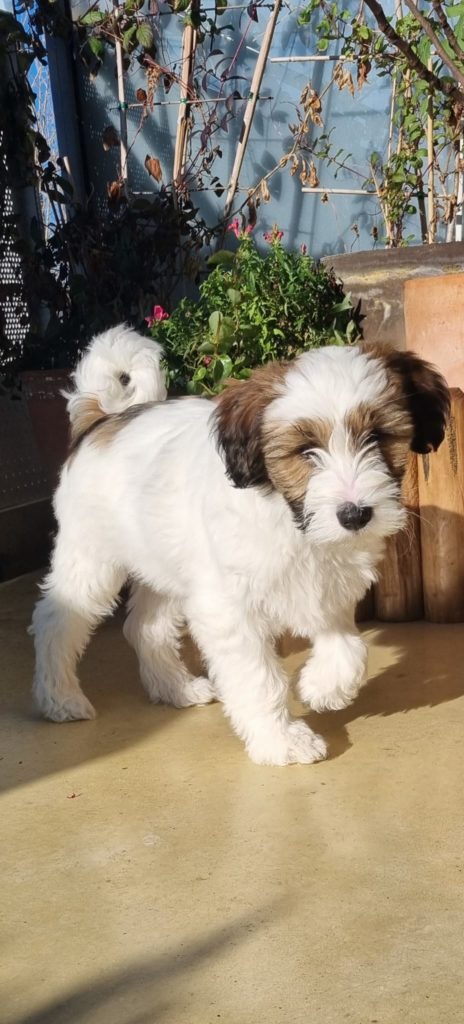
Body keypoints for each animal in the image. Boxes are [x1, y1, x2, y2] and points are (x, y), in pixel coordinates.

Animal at [30, 324, 449, 765]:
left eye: (378, 437)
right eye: (305, 451)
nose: (354, 515)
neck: (289, 517)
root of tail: (103, 420)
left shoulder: (329, 583)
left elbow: (348, 643)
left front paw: (323, 687)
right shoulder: (229, 610)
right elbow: (259, 678)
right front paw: (281, 740)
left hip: (165, 562)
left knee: (146, 627)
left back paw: (175, 688)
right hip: (91, 559)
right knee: (55, 620)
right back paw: (60, 699)